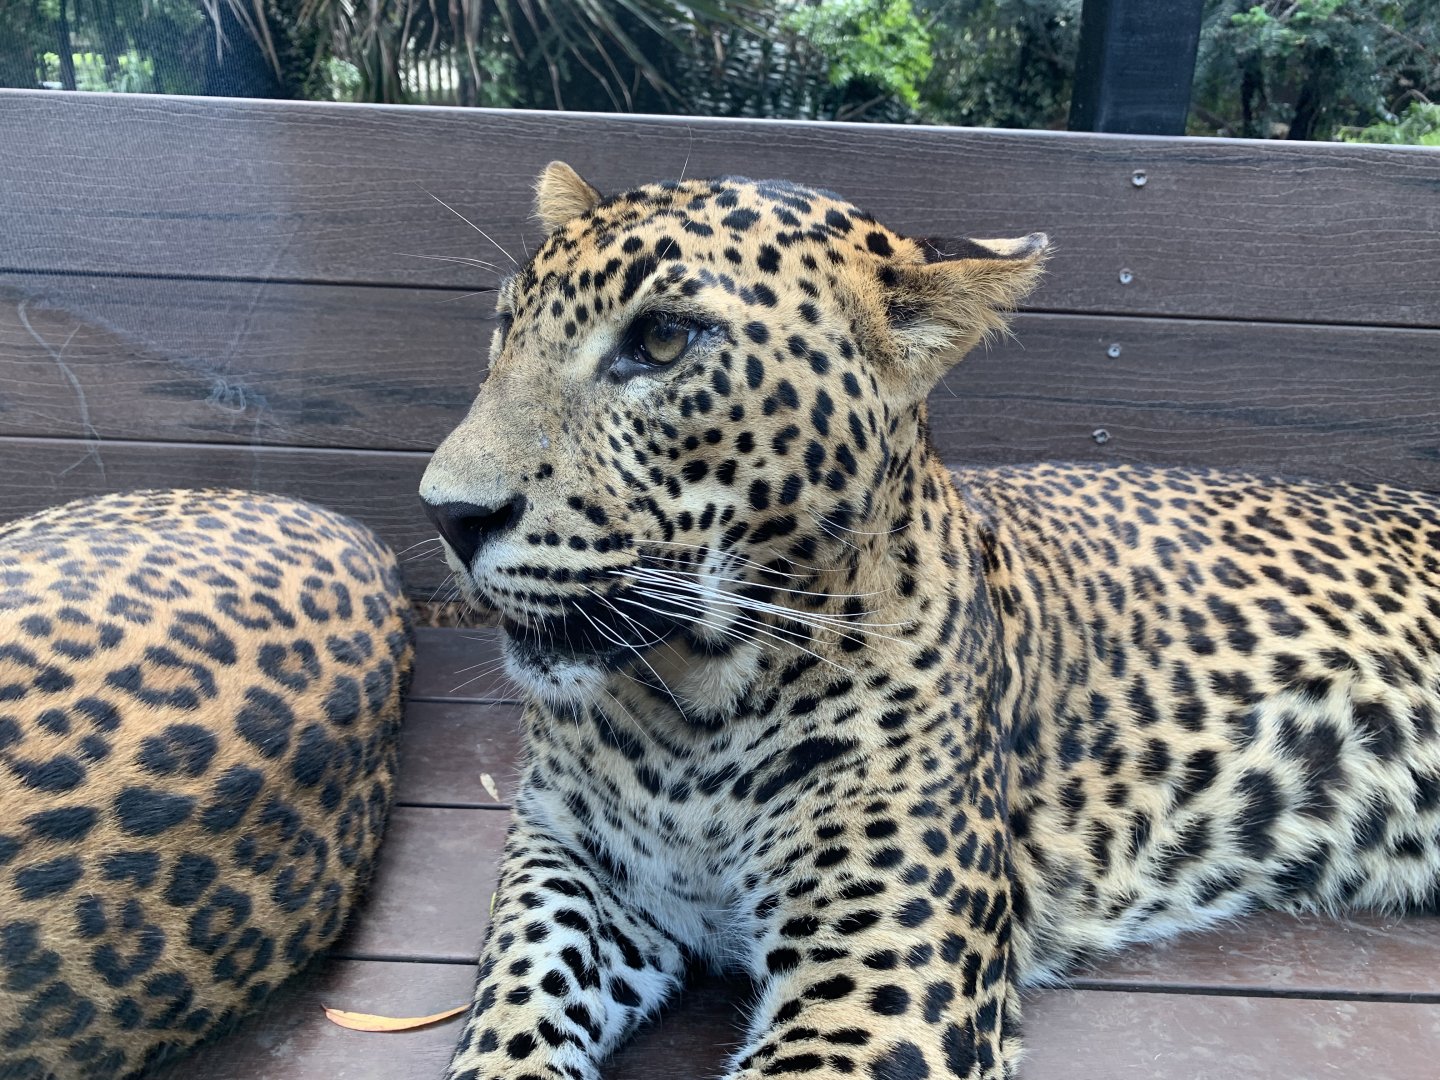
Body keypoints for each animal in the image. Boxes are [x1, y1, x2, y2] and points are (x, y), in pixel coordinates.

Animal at [418, 161, 1440, 1080]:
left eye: (663, 340)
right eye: (505, 327)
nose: (446, 514)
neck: (692, 705)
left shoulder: (874, 996)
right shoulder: (567, 860)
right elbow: (508, 1022)